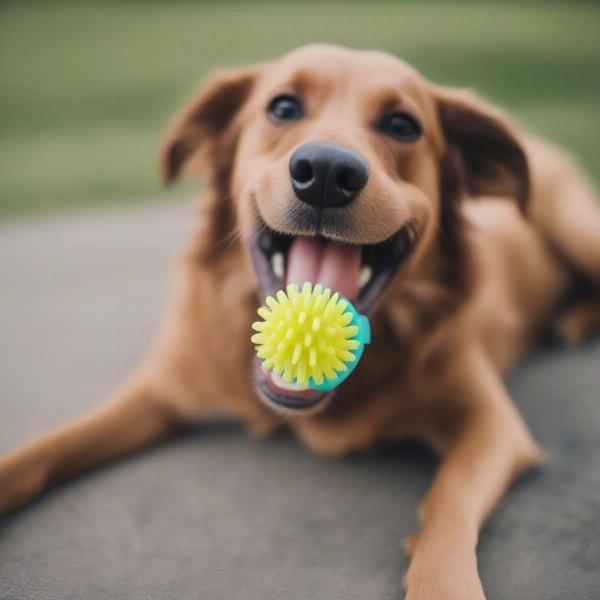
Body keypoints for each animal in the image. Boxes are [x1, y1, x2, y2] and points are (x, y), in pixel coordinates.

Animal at [1, 44, 600, 596]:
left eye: (403, 125)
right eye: (283, 107)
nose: (328, 173)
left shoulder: (493, 425)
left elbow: (447, 502)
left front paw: (444, 581)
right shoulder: (156, 391)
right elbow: (45, 448)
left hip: (578, 229)